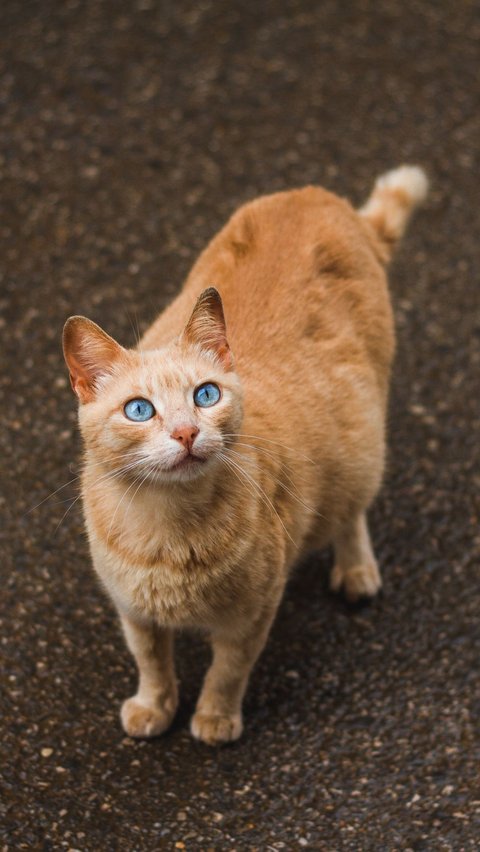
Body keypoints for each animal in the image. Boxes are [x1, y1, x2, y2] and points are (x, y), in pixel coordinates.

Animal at [62, 165, 428, 740]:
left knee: (351, 511)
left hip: (363, 446)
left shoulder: (252, 615)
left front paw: (214, 718)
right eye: (139, 410)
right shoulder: (134, 612)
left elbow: (227, 671)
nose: (186, 433)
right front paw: (155, 707)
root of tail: (320, 197)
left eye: (205, 396)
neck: (166, 530)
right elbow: (151, 663)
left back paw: (356, 570)